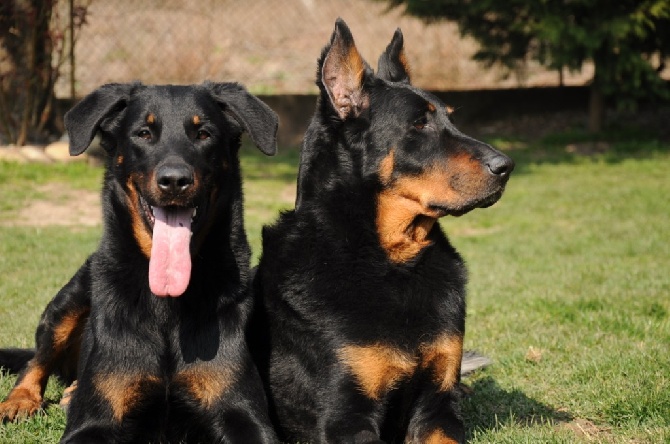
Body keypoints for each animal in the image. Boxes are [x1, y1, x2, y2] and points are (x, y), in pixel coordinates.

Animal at [249, 19, 516, 442]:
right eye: (419, 123)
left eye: (451, 118)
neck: (393, 261)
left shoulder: (438, 405)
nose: (506, 166)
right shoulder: (345, 417)